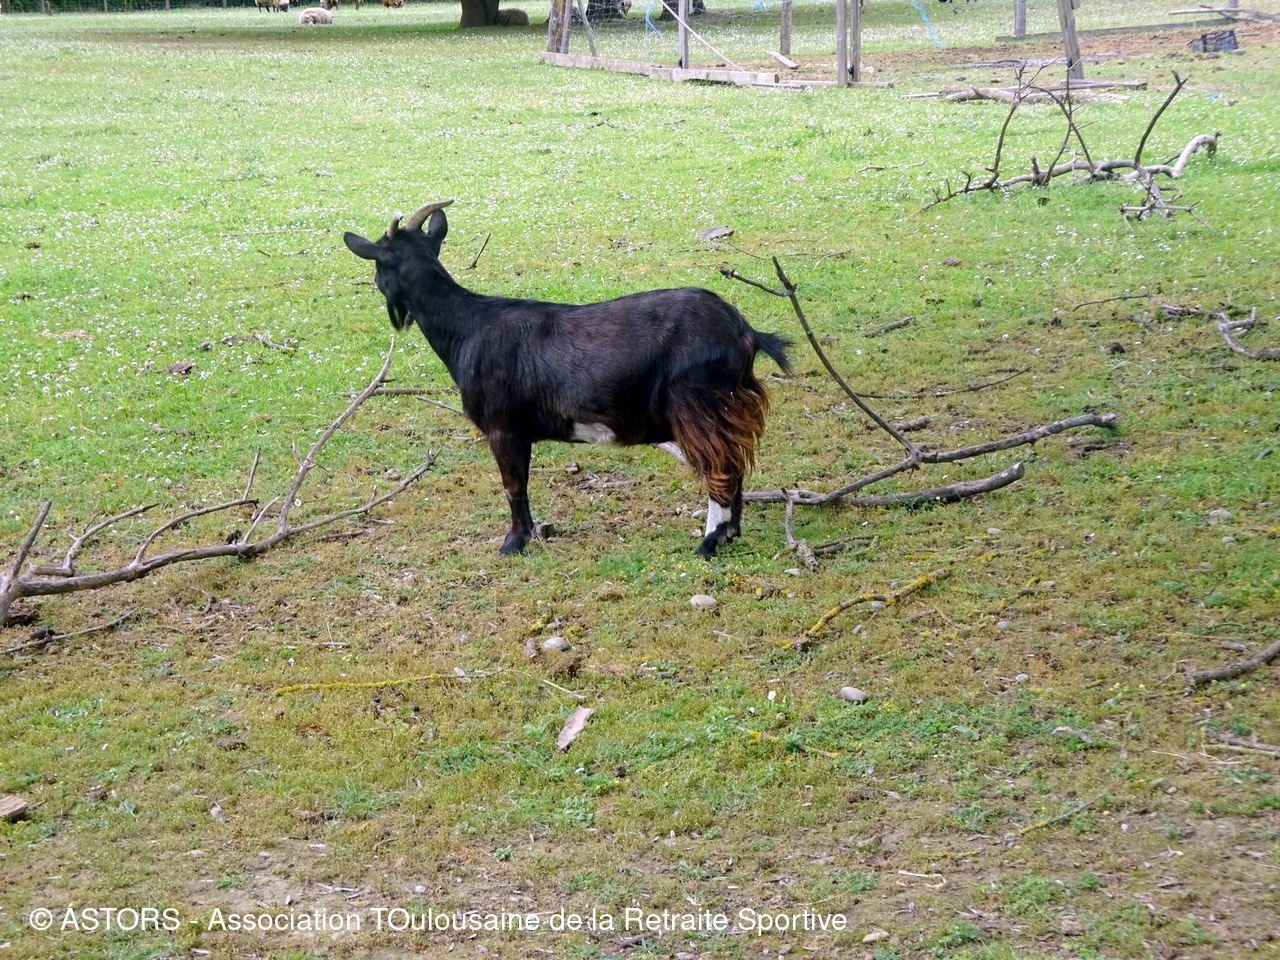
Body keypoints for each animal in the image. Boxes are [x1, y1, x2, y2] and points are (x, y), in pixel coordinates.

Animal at [344, 201, 791, 558]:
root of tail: (744, 332)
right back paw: (728, 535)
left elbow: (513, 486)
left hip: (700, 406)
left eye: (380, 263)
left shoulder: (503, 427)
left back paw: (710, 542)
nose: (377, 286)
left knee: (720, 469)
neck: (467, 328)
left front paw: (513, 544)